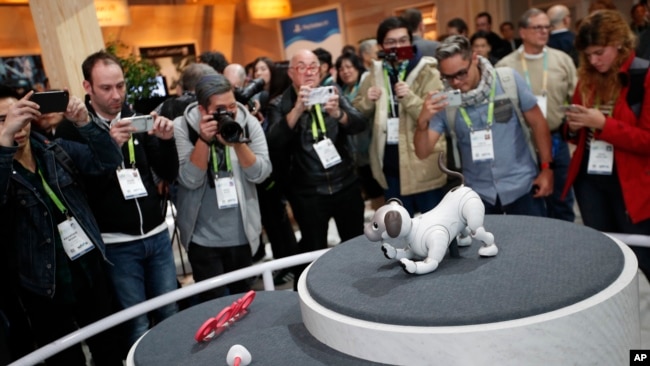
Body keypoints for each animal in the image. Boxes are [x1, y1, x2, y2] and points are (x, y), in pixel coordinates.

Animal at [364, 154, 496, 274]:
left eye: (375, 225)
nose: (365, 230)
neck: (411, 228)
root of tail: (461, 187)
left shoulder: (437, 236)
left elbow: (431, 262)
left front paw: (409, 266)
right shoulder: (411, 250)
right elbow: (405, 253)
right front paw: (390, 251)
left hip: (472, 207)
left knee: (477, 230)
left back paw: (489, 248)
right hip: (462, 221)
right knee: (465, 229)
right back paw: (463, 240)